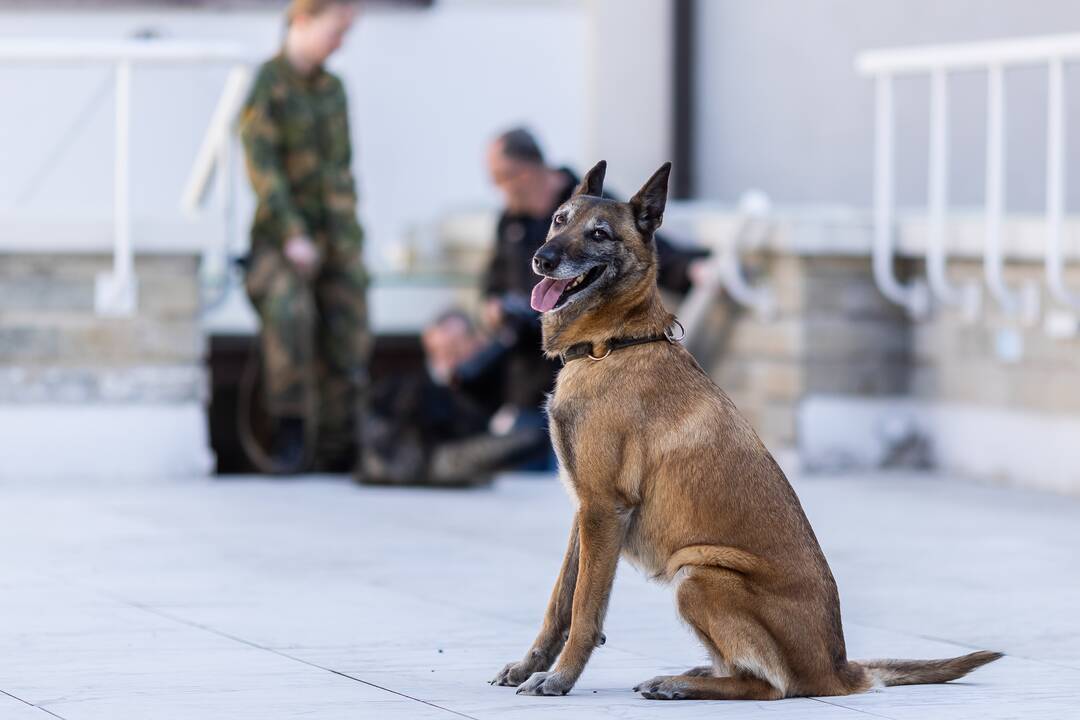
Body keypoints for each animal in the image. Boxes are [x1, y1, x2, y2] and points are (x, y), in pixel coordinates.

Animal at [492, 161, 1002, 699]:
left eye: (599, 234)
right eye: (558, 220)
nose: (541, 259)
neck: (615, 341)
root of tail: (840, 668)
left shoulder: (604, 510)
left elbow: (585, 610)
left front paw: (561, 677)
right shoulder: (585, 513)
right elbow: (559, 603)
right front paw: (529, 666)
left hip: (699, 573)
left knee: (770, 684)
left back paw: (681, 684)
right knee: (743, 670)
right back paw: (691, 675)